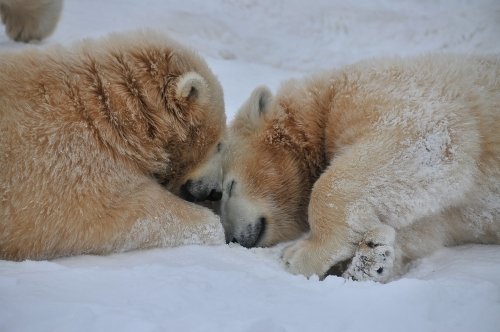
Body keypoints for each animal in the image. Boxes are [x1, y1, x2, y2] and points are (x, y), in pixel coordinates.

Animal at [221, 53, 500, 280]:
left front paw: (301, 254)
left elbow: (414, 138)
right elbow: (423, 227)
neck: (322, 101)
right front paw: (374, 258)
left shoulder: (380, 92)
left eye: (228, 187)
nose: (234, 238)